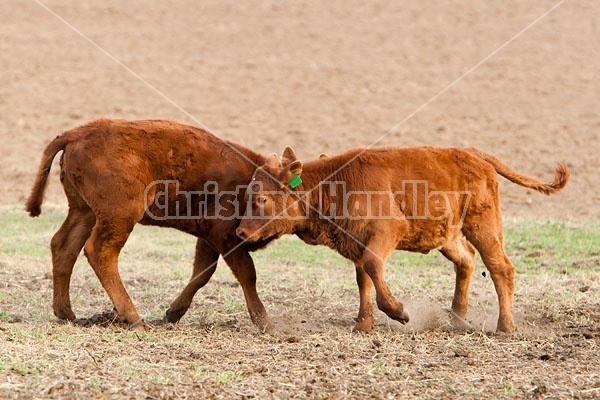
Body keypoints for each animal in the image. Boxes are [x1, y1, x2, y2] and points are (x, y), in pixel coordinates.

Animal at [25, 119, 274, 332]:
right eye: (262, 199)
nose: (246, 232)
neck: (249, 177)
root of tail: (76, 133)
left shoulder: (209, 238)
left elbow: (202, 272)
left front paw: (172, 314)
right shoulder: (223, 235)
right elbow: (246, 272)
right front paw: (265, 323)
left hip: (84, 212)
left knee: (64, 245)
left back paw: (66, 313)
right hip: (120, 215)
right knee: (100, 250)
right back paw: (133, 318)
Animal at [234, 145, 568, 332]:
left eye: (261, 199)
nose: (240, 232)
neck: (336, 183)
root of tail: (476, 155)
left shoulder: (386, 233)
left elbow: (373, 267)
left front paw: (399, 312)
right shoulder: (357, 241)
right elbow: (364, 280)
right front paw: (363, 324)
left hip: (483, 226)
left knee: (501, 268)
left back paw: (505, 326)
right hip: (448, 236)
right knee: (466, 261)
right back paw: (457, 318)